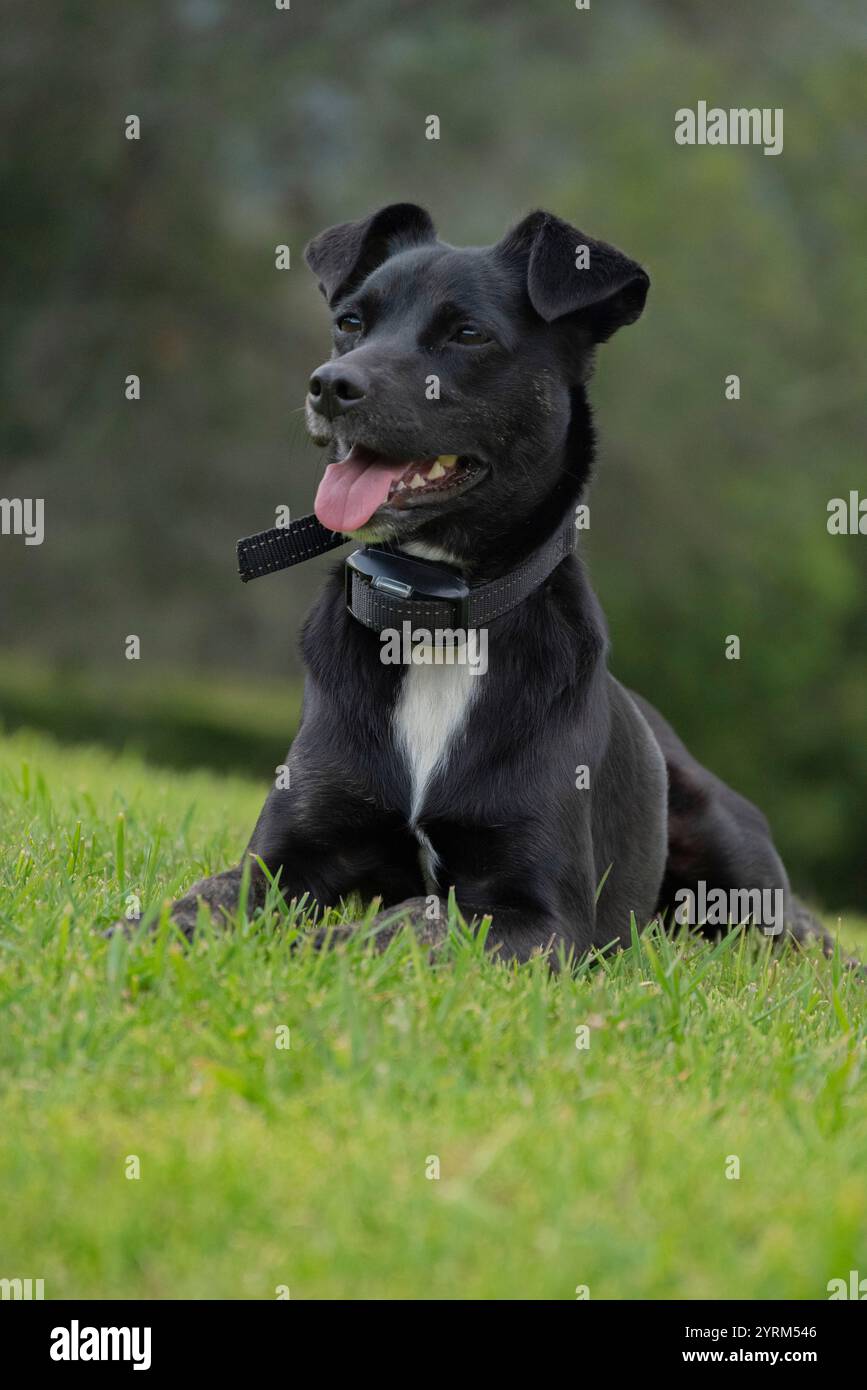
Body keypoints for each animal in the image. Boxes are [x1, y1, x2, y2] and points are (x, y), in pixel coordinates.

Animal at [159, 205, 828, 961]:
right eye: (351, 322)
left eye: (469, 334)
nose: (329, 386)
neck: (432, 617)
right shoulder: (283, 856)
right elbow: (213, 894)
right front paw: (148, 928)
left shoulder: (540, 917)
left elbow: (405, 921)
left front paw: (311, 950)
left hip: (736, 863)